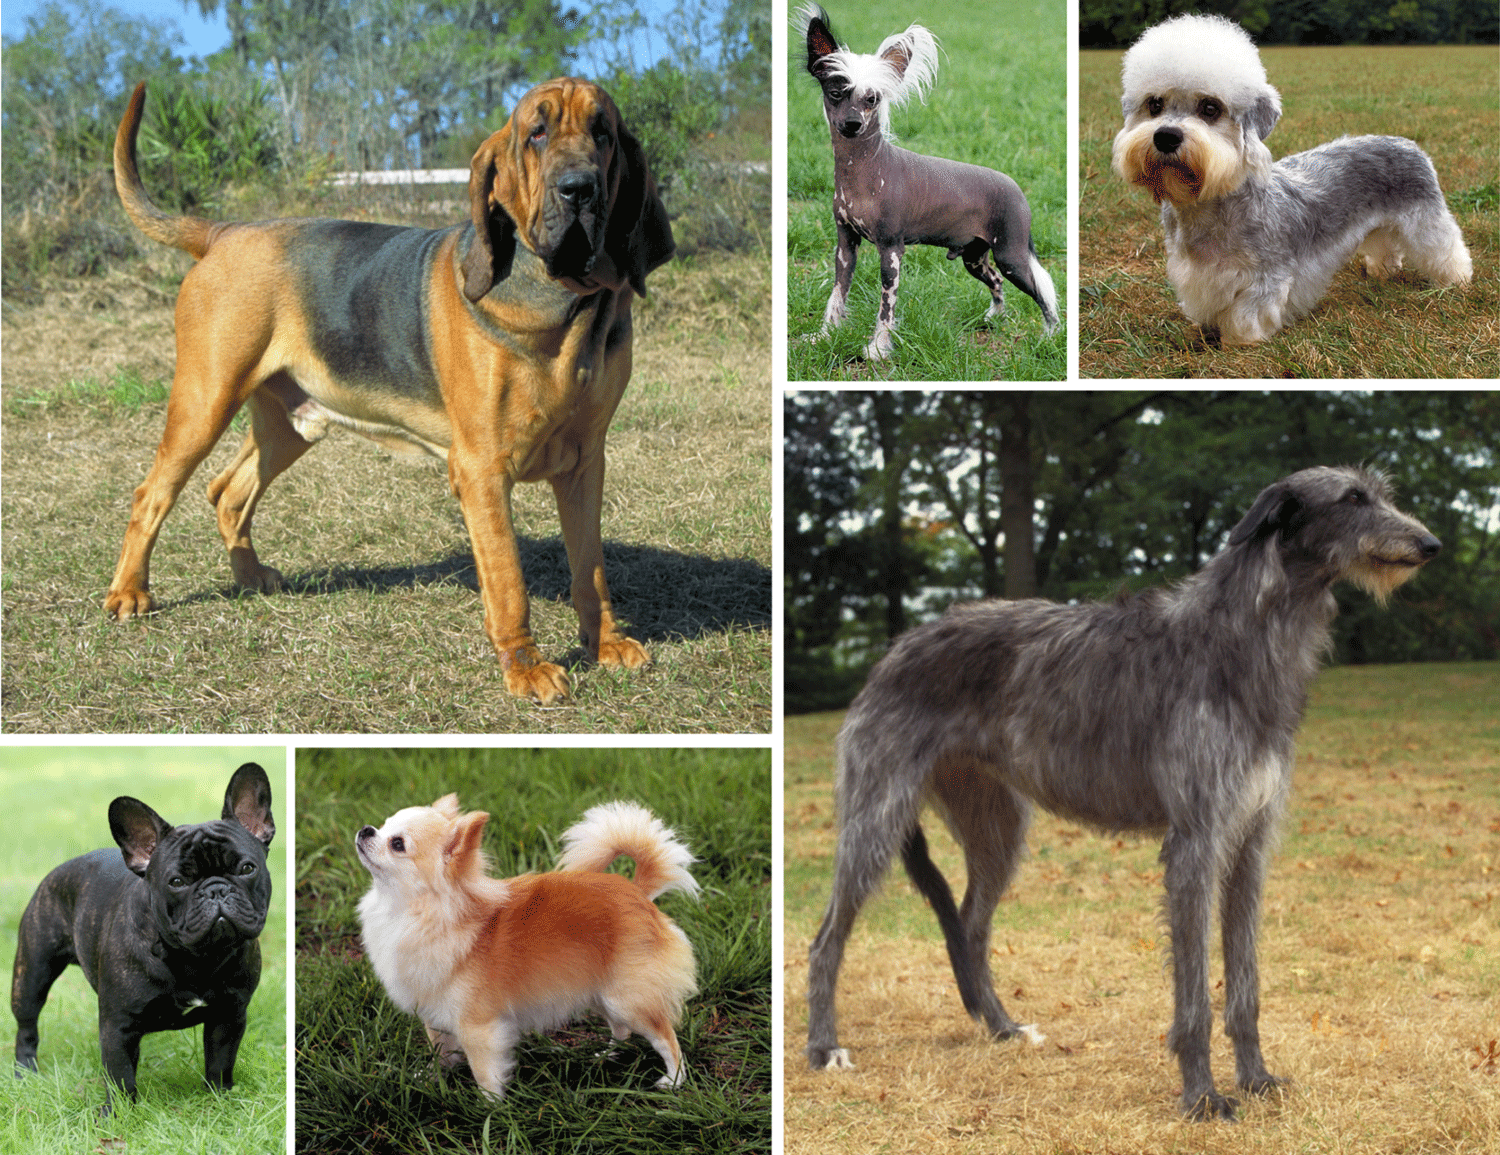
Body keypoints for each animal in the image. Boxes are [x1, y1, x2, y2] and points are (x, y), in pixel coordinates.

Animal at [10, 762, 276, 1110]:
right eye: (176, 882)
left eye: (247, 869)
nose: (216, 889)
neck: (197, 957)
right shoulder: (118, 1026)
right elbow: (120, 1074)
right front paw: (118, 1114)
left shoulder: (229, 1015)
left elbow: (220, 1061)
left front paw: (220, 1099)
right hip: (32, 975)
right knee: (27, 1025)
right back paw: (25, 1071)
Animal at [804, 5, 1062, 360]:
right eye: (835, 93)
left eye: (873, 99)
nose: (853, 124)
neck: (861, 169)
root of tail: (1016, 188)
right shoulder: (845, 246)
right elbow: (837, 295)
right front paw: (825, 336)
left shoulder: (891, 250)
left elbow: (886, 307)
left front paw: (878, 348)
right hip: (974, 258)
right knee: (996, 282)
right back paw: (994, 317)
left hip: (1012, 256)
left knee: (1043, 291)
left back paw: (1050, 337)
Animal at [1110, 13, 1470, 345]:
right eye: (1154, 104)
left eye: (1210, 108)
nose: (1166, 137)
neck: (1210, 203)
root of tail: (1407, 143)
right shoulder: (1197, 277)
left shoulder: (1263, 279)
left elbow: (1245, 318)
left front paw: (1239, 345)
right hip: (1381, 226)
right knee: (1386, 247)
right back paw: (1381, 272)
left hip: (1425, 221)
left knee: (1448, 249)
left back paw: (1457, 280)